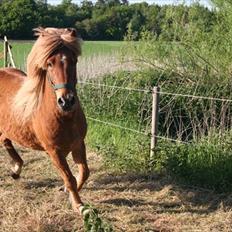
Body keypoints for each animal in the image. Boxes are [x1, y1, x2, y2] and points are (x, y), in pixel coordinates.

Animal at [0, 28, 89, 215]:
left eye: (74, 60)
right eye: (49, 64)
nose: (66, 101)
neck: (63, 118)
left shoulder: (78, 144)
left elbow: (84, 172)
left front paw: (68, 192)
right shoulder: (54, 151)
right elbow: (69, 177)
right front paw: (78, 205)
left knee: (5, 140)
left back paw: (16, 169)